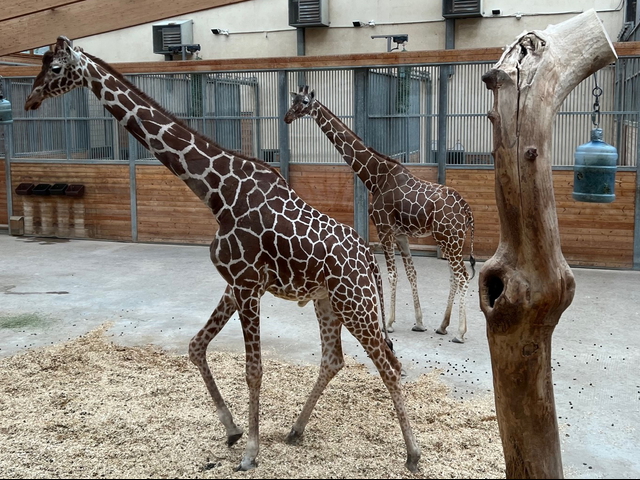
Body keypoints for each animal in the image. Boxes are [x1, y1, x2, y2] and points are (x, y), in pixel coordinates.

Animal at [284, 86, 476, 344]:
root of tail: (466, 208)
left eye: (304, 102)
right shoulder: (401, 234)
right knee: (454, 276)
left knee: (463, 276)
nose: (287, 116)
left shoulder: (384, 228)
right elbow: (411, 273)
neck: (374, 177)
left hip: (450, 238)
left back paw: (459, 333)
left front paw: (390, 323)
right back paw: (443, 326)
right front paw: (419, 323)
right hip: (451, 240)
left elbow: (392, 274)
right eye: (293, 99)